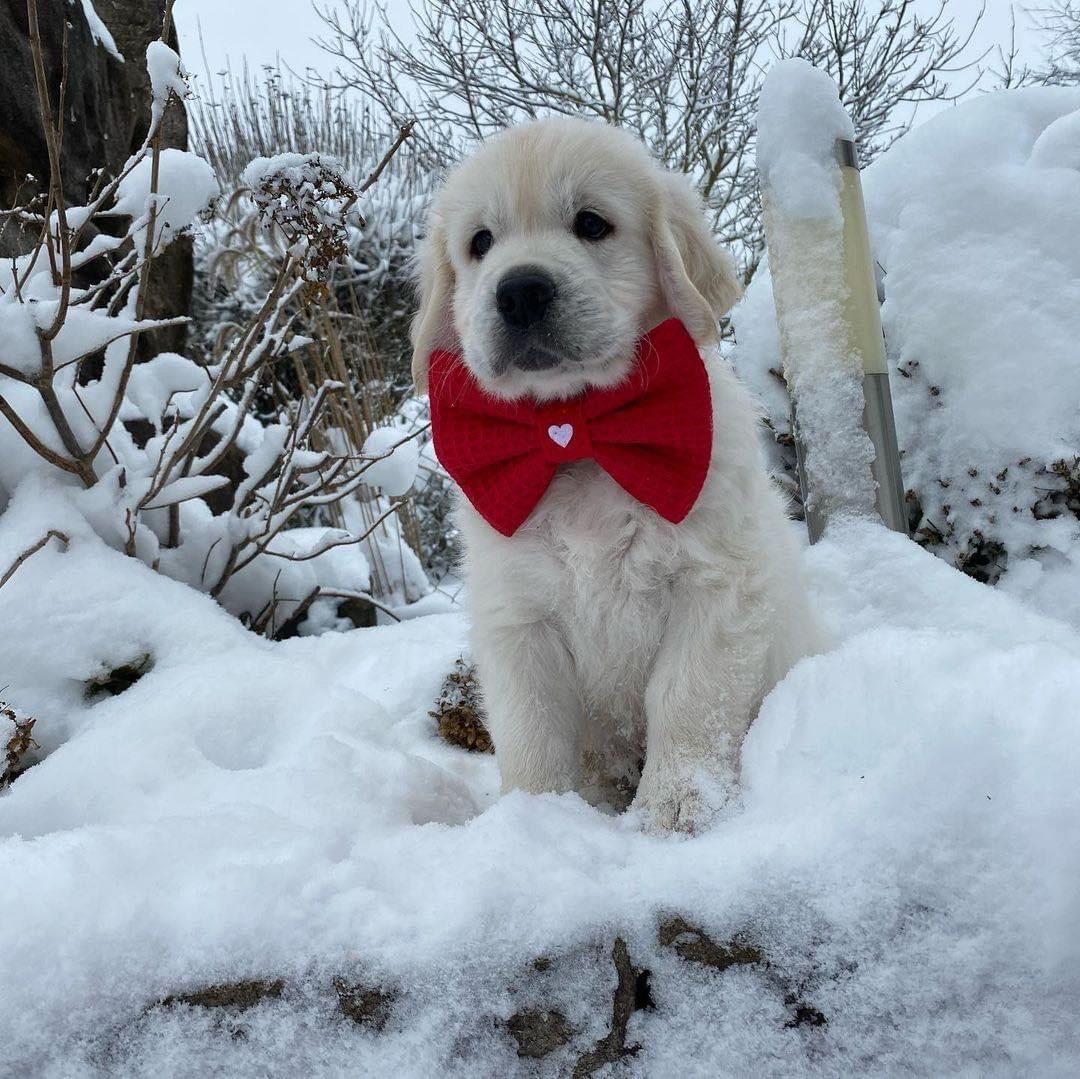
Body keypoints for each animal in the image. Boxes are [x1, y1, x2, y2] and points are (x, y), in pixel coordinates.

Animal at [413, 118, 820, 832]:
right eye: (480, 243)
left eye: (592, 224)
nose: (519, 291)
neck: (577, 433)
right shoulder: (519, 617)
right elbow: (532, 727)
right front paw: (532, 819)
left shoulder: (716, 584)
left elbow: (685, 695)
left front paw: (678, 804)